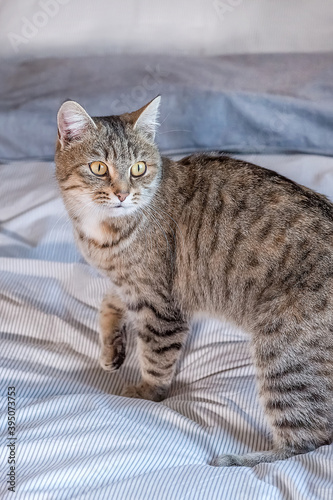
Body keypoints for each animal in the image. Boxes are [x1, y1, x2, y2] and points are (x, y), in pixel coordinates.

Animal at [55, 96, 332, 464]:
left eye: (138, 168)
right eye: (99, 168)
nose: (122, 194)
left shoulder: (161, 305)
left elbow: (156, 360)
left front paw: (145, 393)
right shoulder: (131, 286)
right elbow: (108, 303)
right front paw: (112, 347)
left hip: (284, 355)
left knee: (307, 441)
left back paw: (236, 462)